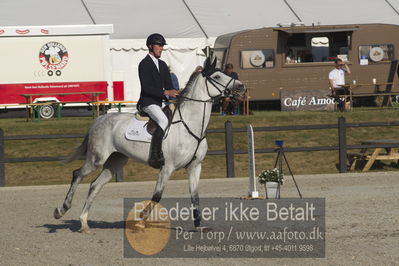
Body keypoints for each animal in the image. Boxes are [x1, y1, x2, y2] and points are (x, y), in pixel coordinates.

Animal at [53, 58, 245, 233]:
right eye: (217, 76)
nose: (241, 86)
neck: (190, 124)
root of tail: (99, 120)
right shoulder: (167, 167)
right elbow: (157, 196)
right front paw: (141, 221)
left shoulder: (195, 167)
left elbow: (195, 196)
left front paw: (199, 226)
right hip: (96, 159)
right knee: (77, 174)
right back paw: (61, 210)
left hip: (115, 161)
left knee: (95, 185)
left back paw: (84, 222)